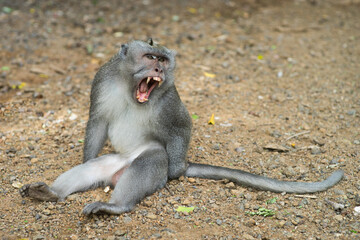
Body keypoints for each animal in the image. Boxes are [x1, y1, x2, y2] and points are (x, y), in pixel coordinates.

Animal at [19, 39, 344, 216]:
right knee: (94, 170)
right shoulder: (102, 80)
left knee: (151, 160)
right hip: (113, 162)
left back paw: (116, 206)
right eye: (150, 57)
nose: (158, 69)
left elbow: (182, 125)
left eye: (163, 60)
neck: (128, 88)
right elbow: (97, 120)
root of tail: (117, 174)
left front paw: (177, 171)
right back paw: (50, 194)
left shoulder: (169, 99)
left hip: (147, 159)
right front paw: (86, 157)